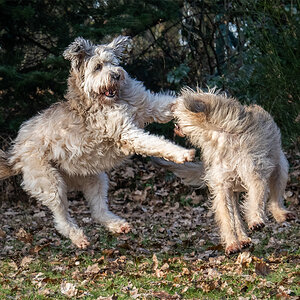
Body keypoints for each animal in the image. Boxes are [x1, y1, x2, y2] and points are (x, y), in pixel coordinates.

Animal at [0, 35, 195, 248]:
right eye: (98, 67)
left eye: (113, 63)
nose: (117, 75)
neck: (113, 99)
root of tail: (14, 152)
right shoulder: (126, 133)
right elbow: (156, 143)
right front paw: (182, 153)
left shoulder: (149, 105)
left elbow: (170, 105)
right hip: (50, 182)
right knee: (61, 218)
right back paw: (78, 237)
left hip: (94, 178)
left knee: (97, 211)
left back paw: (118, 225)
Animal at [161, 88, 294, 254]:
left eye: (178, 102)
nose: (170, 106)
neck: (220, 135)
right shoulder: (222, 187)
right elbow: (226, 217)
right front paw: (231, 242)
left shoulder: (254, 174)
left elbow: (255, 199)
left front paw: (255, 219)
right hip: (234, 191)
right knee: (236, 216)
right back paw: (242, 239)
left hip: (280, 169)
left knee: (276, 198)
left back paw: (280, 214)